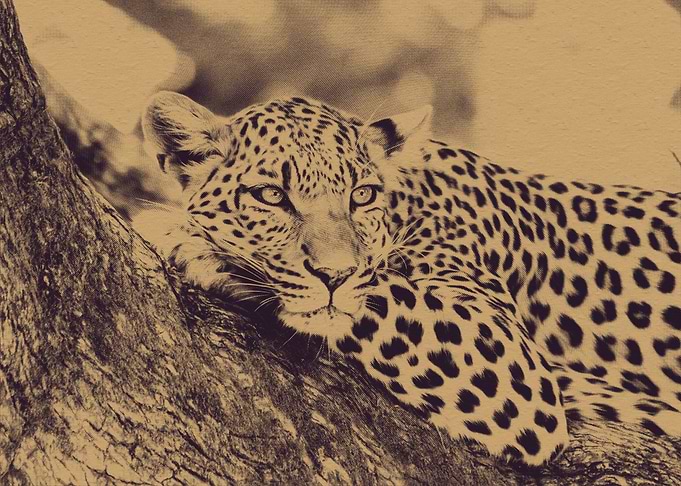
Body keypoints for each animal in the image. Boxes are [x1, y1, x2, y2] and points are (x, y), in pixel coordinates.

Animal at [134, 91, 681, 466]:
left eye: (362, 195)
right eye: (271, 196)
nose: (334, 274)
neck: (410, 200)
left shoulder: (518, 370)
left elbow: (383, 295)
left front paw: (194, 241)